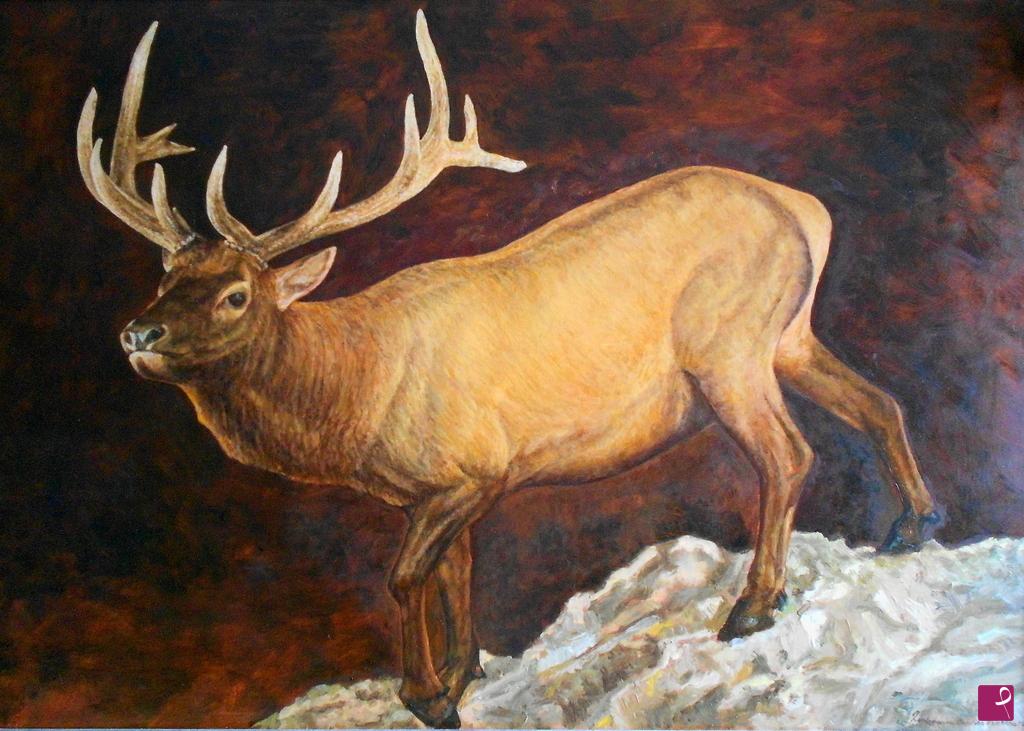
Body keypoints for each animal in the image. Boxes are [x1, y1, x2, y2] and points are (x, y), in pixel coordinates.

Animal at [78, 12, 941, 728]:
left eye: (235, 294)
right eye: (164, 275)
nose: (137, 331)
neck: (358, 391)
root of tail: (810, 210)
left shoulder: (472, 467)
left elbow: (406, 577)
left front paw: (427, 696)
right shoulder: (436, 487)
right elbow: (456, 575)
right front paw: (463, 675)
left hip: (727, 347)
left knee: (789, 453)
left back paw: (755, 605)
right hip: (787, 334)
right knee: (882, 401)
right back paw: (912, 525)